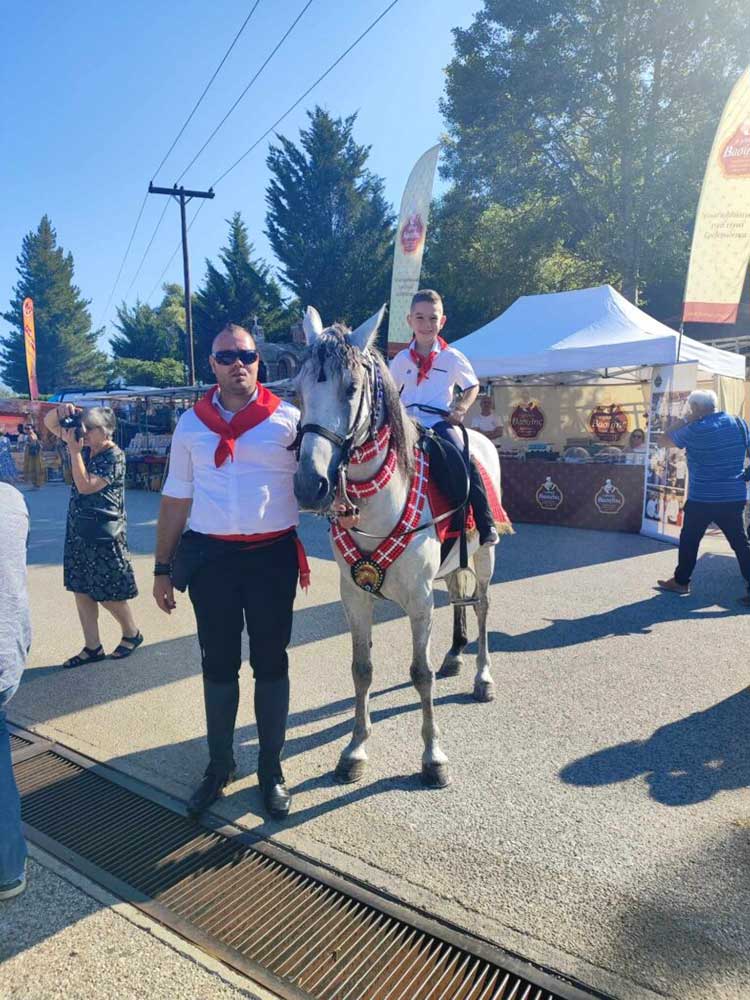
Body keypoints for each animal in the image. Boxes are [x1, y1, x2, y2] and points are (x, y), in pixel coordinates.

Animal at [292, 304, 506, 788]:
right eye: (298, 390)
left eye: (351, 389)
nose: (310, 485)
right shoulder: (354, 596)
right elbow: (361, 670)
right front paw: (355, 749)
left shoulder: (419, 600)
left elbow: (419, 674)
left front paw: (432, 757)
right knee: (460, 594)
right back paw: (455, 655)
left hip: (484, 554)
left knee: (482, 606)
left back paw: (482, 677)